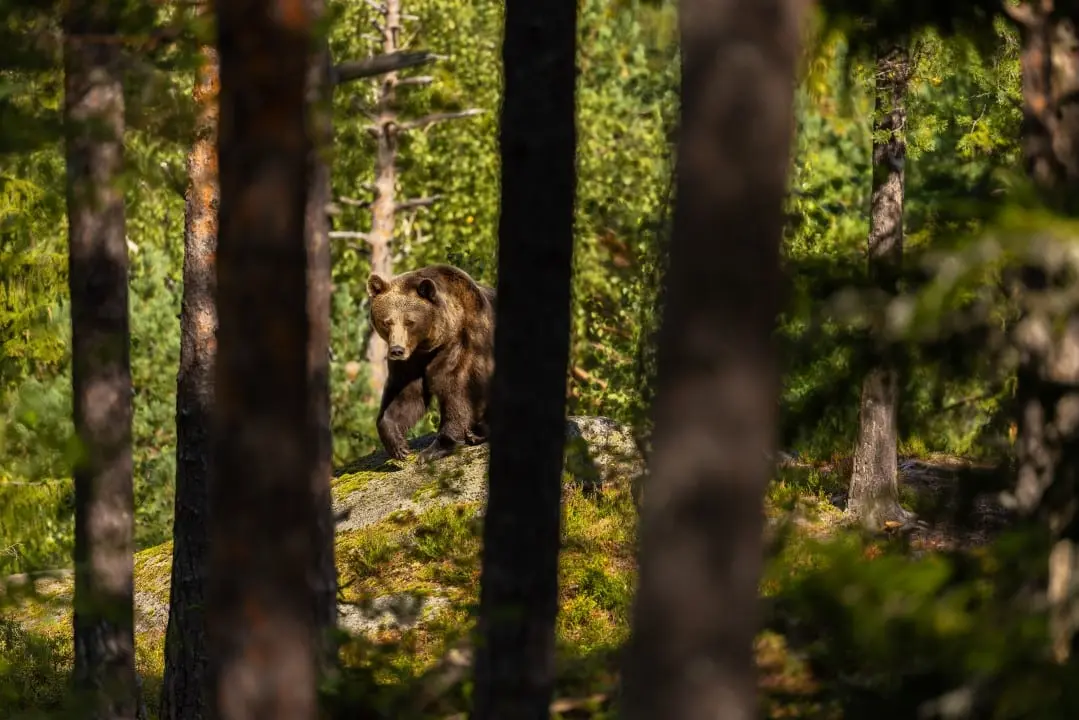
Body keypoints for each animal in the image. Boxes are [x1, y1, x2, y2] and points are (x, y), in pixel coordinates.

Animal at [366, 264, 496, 464]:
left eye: (410, 321)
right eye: (387, 322)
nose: (397, 350)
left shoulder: (466, 342)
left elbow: (457, 390)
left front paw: (435, 449)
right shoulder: (412, 361)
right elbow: (405, 395)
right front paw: (399, 446)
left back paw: (476, 433)